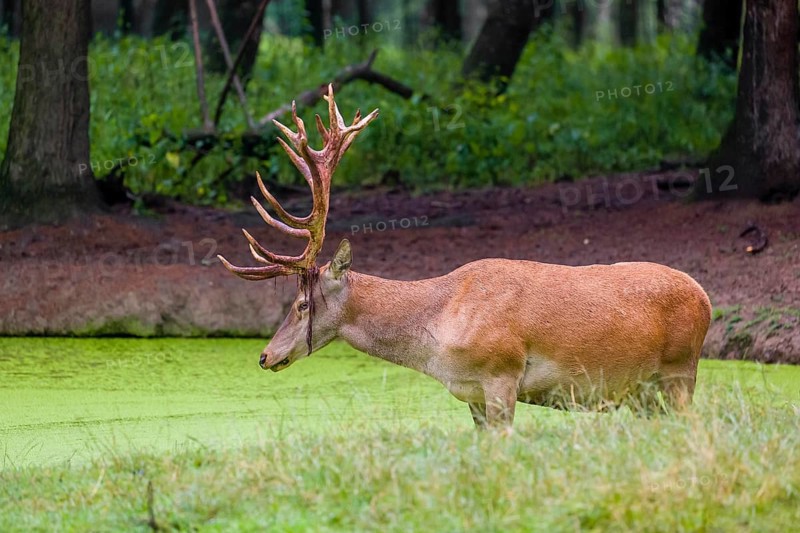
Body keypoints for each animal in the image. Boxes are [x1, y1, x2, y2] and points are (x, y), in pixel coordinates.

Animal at [218, 85, 712, 429]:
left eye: (302, 303)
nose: (265, 356)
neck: (437, 333)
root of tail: (706, 299)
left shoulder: (502, 376)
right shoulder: (471, 394)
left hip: (679, 372)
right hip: (645, 393)